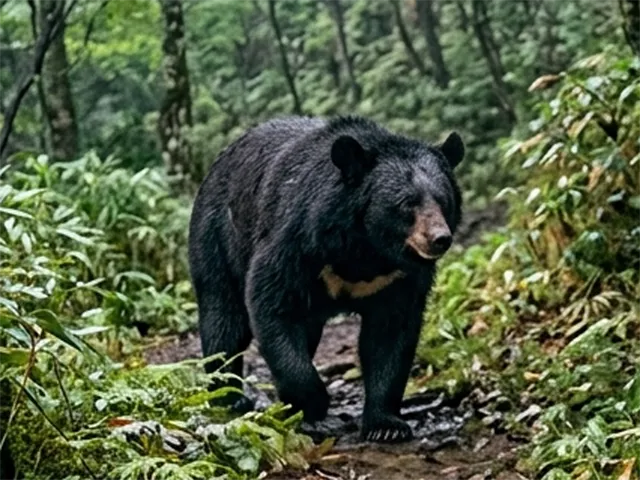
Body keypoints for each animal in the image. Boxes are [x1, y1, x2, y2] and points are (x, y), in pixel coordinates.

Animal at [187, 115, 465, 443]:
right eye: (407, 203)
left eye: (443, 201)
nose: (439, 239)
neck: (367, 250)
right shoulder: (298, 241)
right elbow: (272, 304)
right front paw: (313, 403)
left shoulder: (400, 277)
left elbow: (390, 334)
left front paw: (386, 426)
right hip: (217, 238)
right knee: (224, 321)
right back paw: (229, 397)